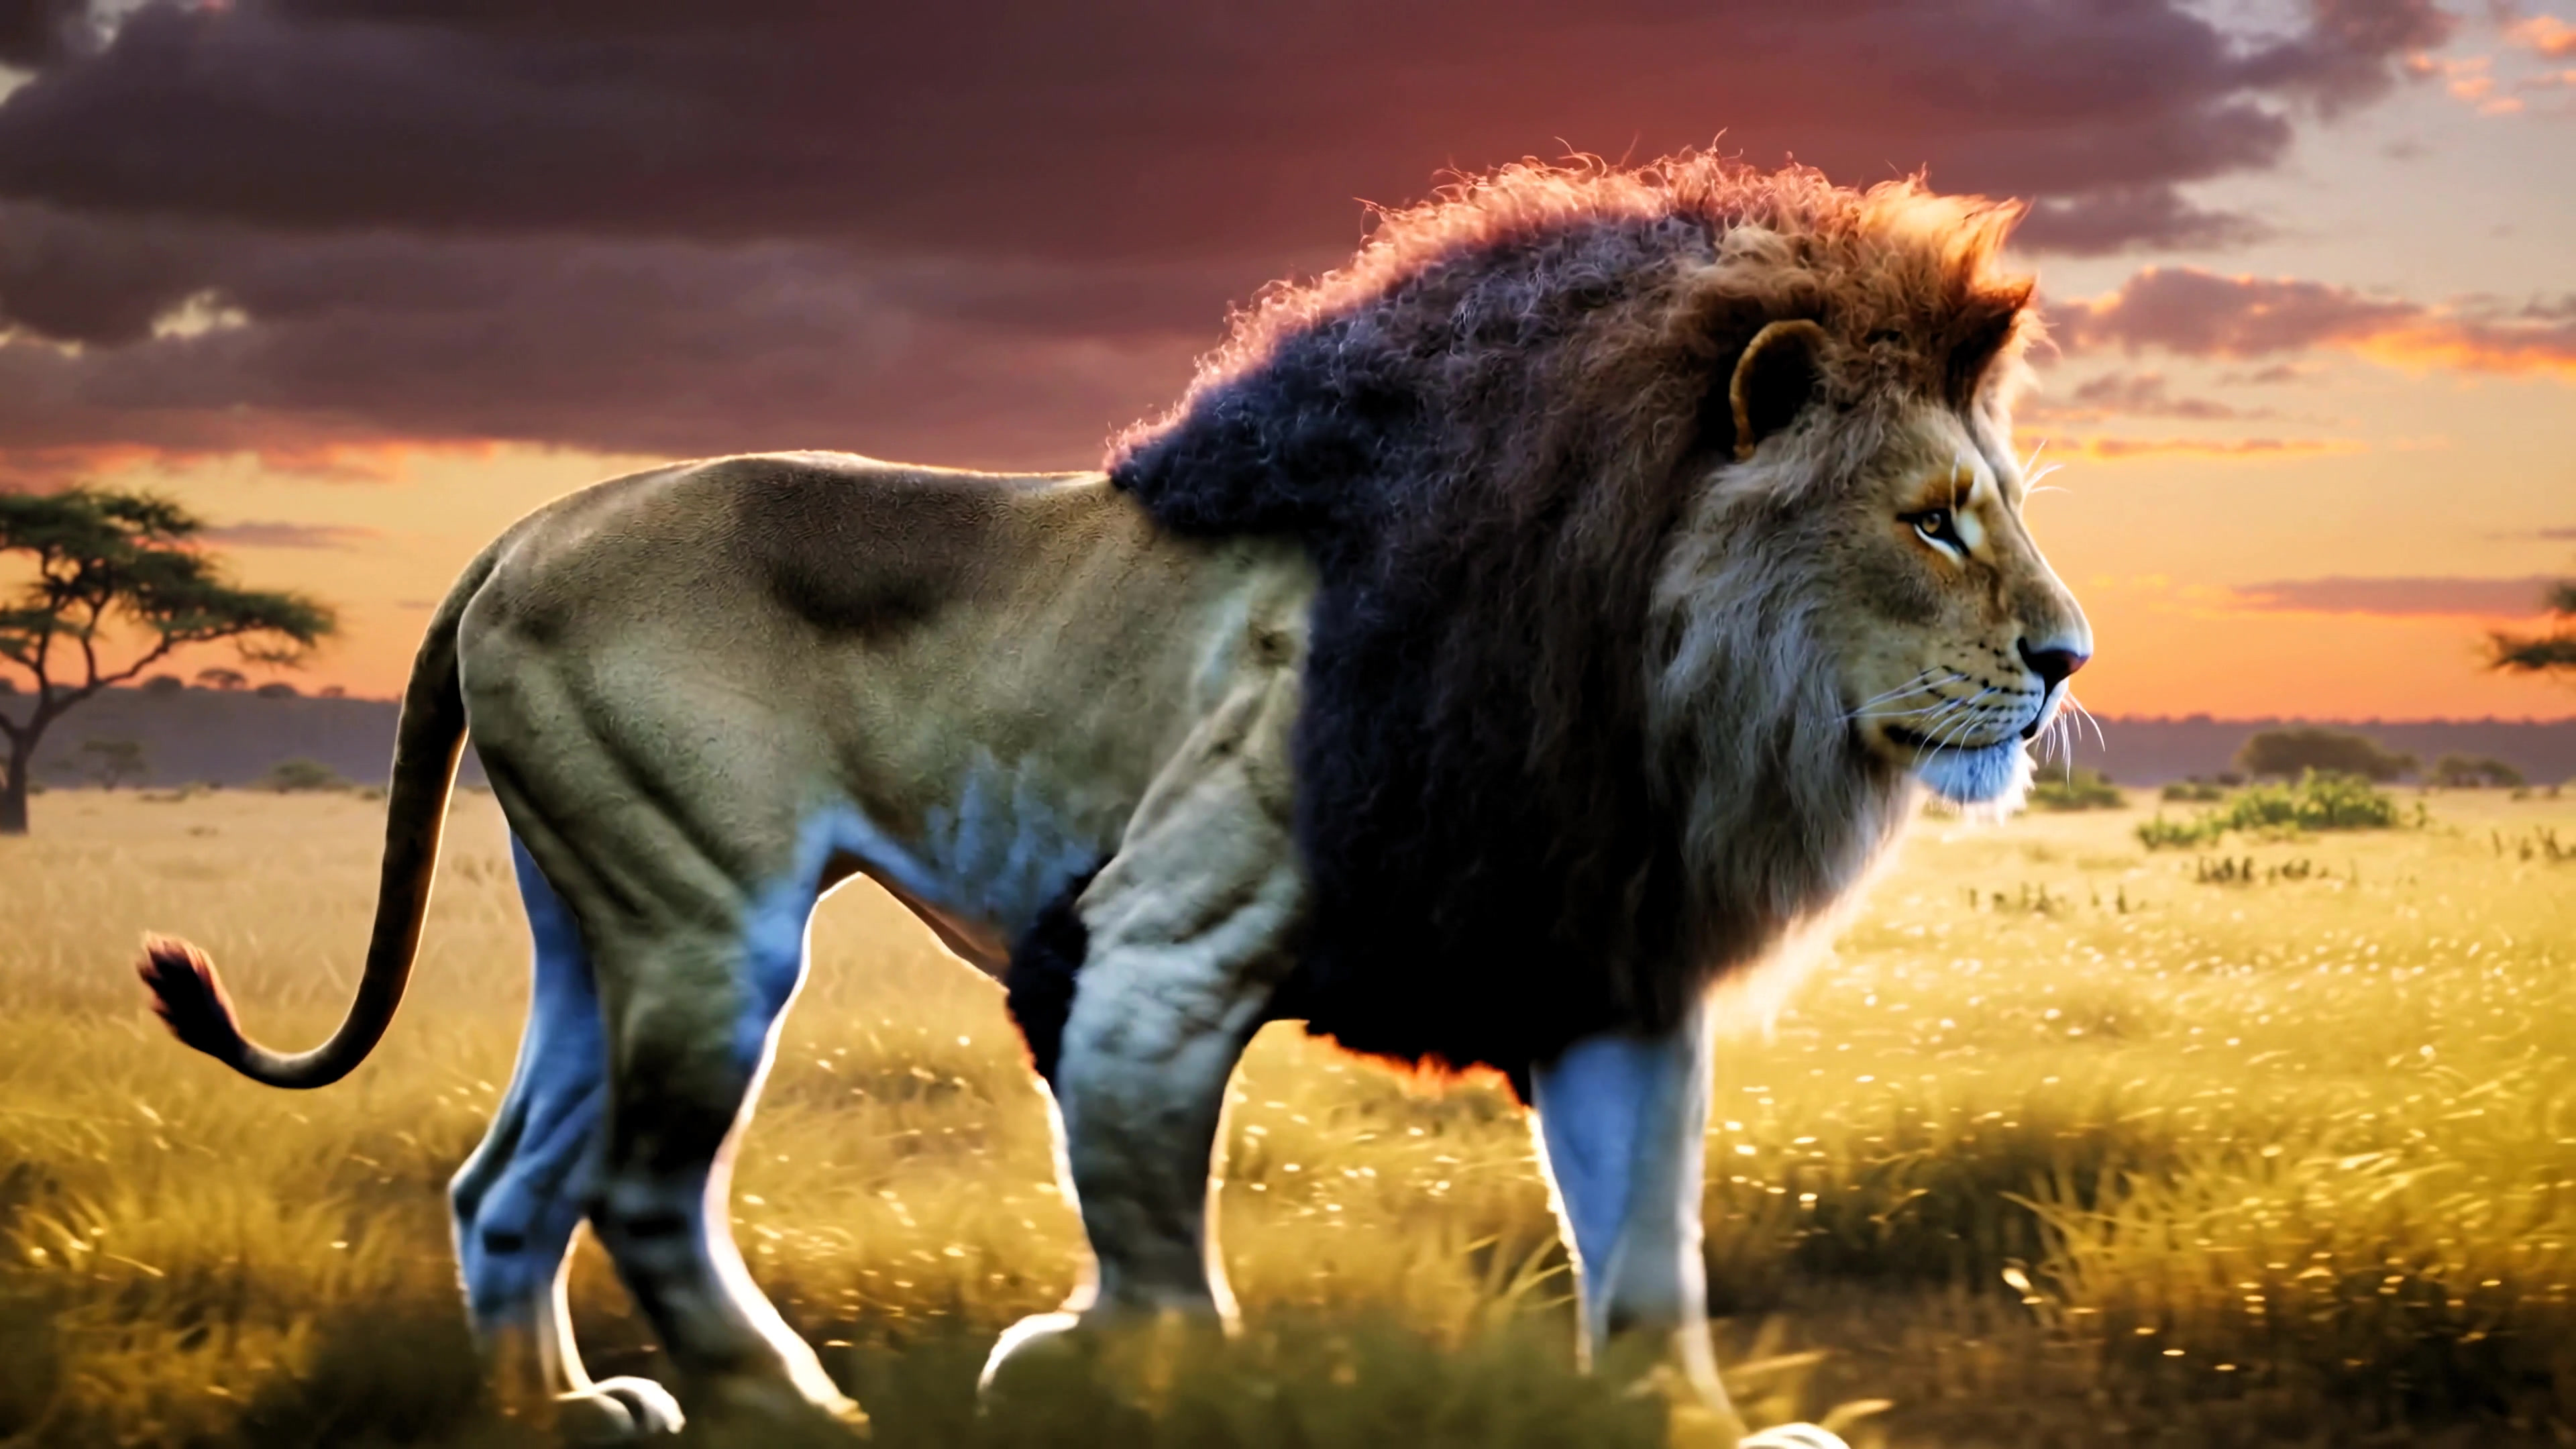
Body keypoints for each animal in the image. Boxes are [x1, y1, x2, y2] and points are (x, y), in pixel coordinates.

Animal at [137, 156, 2089, 1449]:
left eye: (1995, 505)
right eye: (1933, 521)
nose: (2069, 656)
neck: (1652, 676)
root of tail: (519, 529)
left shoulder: (1598, 969)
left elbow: (1648, 1256)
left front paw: (1689, 1426)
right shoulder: (1148, 954)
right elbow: (1157, 1252)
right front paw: (1123, 1377)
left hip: (590, 920)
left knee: (504, 1183)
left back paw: (556, 1416)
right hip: (708, 920)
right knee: (633, 1186)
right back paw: (805, 1411)